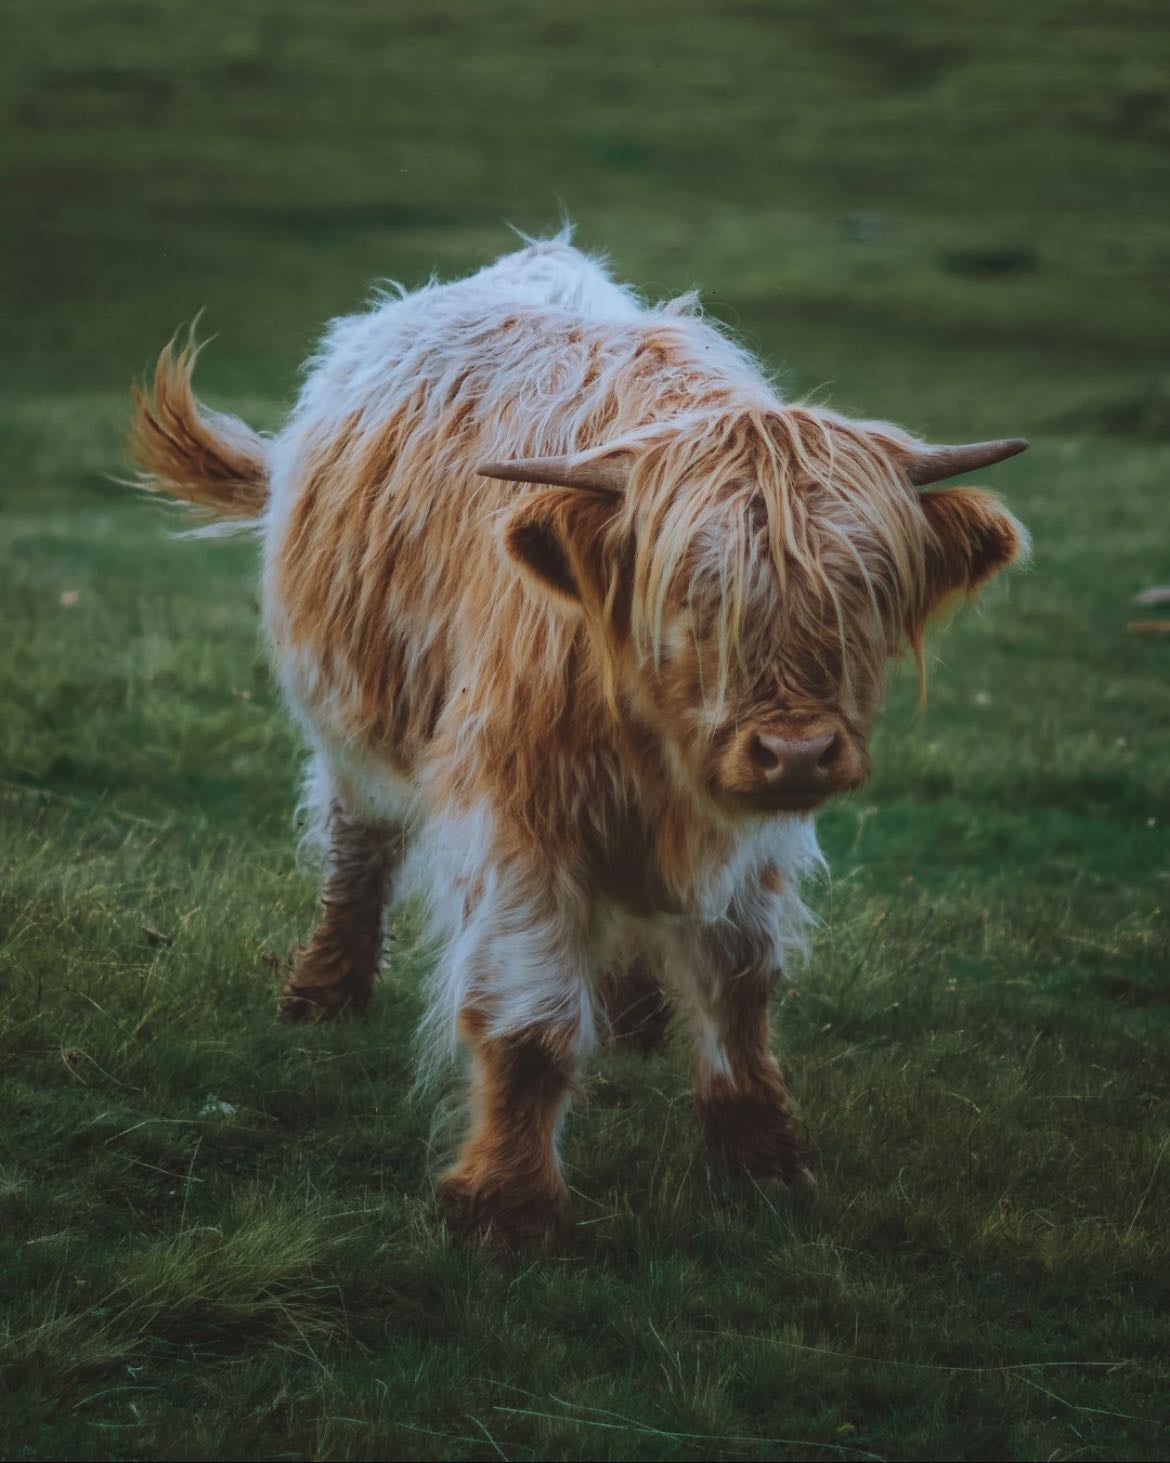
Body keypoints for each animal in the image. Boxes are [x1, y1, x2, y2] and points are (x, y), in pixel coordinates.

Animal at [129, 235, 1028, 1243]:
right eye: (689, 593)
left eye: (866, 590)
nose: (796, 752)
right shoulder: (518, 814)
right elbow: (530, 1020)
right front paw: (508, 1205)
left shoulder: (752, 834)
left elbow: (740, 987)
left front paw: (762, 1158)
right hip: (350, 718)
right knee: (356, 842)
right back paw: (324, 992)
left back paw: (637, 1018)